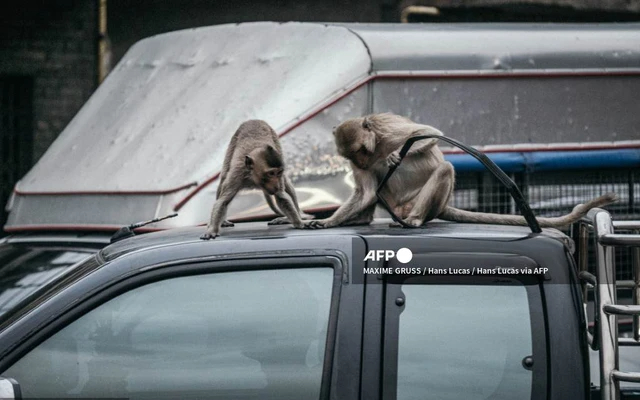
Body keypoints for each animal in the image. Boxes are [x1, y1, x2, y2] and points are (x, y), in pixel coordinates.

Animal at [304, 114, 616, 230]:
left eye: (360, 149)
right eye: (352, 156)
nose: (362, 161)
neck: (375, 147)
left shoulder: (386, 127)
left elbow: (428, 133)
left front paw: (396, 155)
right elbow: (367, 192)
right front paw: (327, 222)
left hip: (425, 202)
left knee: (444, 167)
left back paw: (415, 219)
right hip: (395, 203)